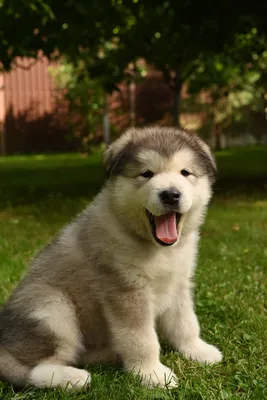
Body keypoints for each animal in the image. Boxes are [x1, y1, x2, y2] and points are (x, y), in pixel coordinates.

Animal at [0, 126, 222, 390]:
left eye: (185, 173)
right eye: (146, 174)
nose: (171, 194)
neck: (155, 247)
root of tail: (2, 344)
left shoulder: (178, 284)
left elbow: (185, 323)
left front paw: (198, 350)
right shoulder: (126, 290)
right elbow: (142, 338)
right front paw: (152, 373)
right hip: (52, 310)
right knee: (27, 366)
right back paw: (71, 377)